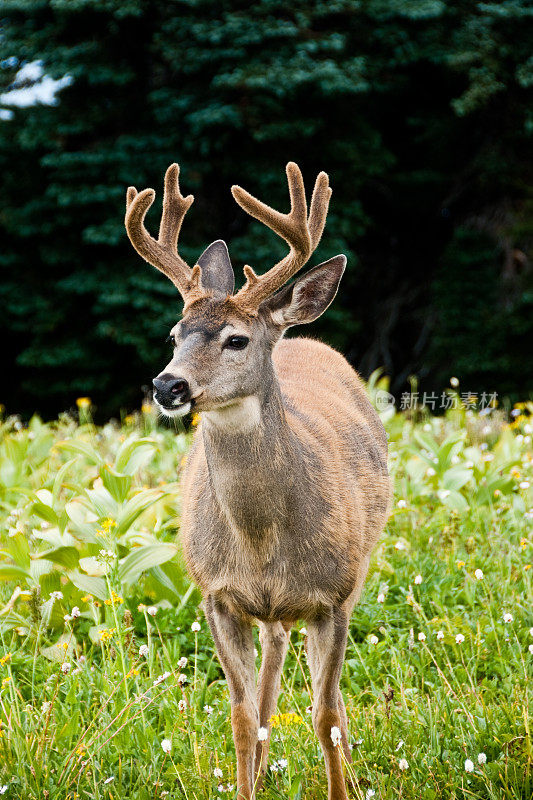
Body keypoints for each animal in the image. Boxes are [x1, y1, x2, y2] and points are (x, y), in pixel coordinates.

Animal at [124, 162, 390, 800]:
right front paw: (249, 773)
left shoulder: (334, 596)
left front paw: (340, 786)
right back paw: (266, 764)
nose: (167, 386)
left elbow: (328, 713)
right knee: (273, 649)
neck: (261, 539)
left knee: (306, 674)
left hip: (358, 568)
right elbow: (241, 715)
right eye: (175, 334)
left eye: (236, 339)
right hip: (265, 610)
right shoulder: (216, 594)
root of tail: (298, 333)